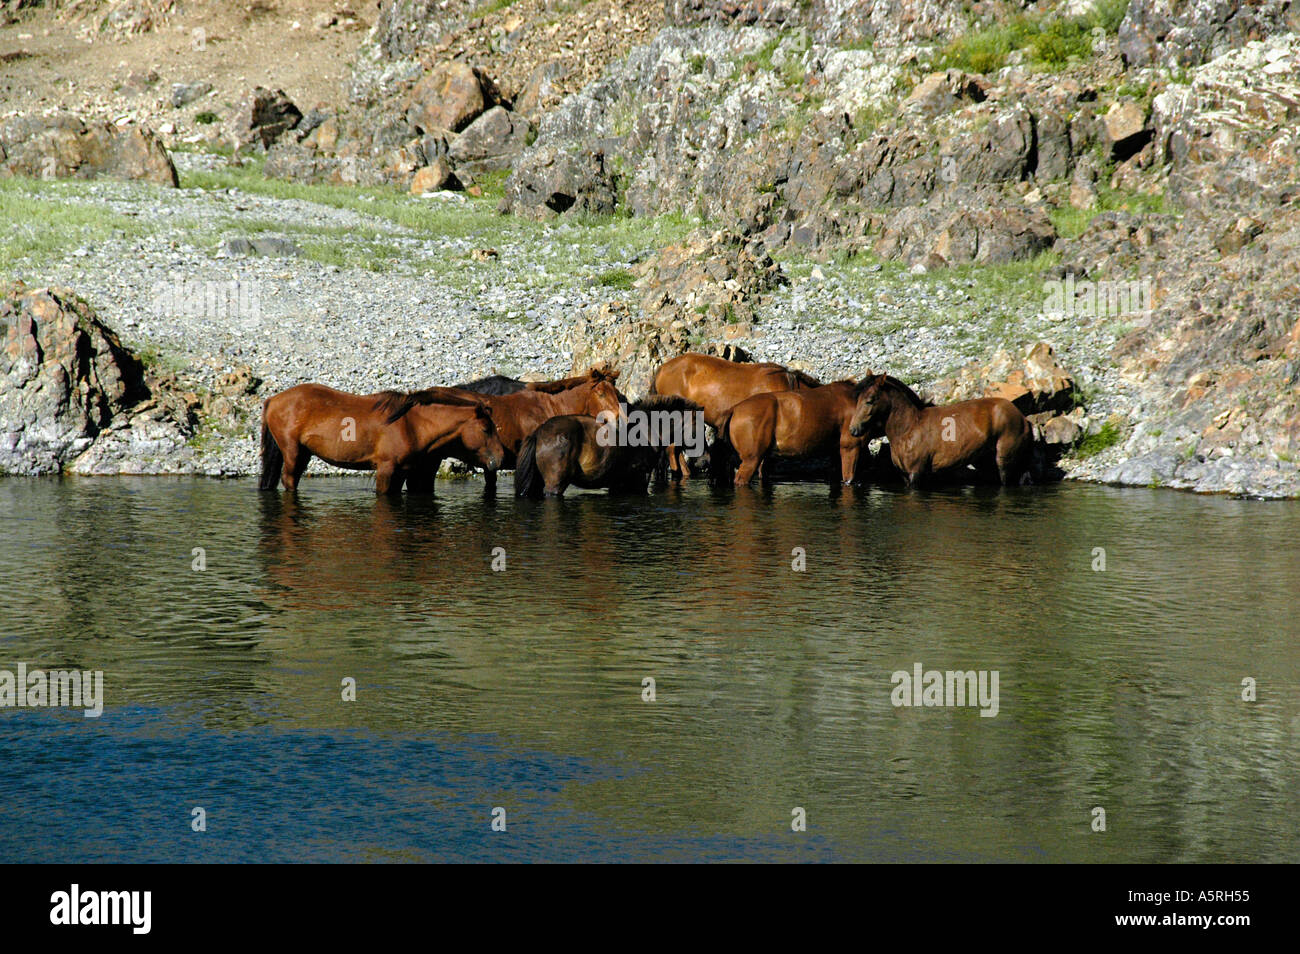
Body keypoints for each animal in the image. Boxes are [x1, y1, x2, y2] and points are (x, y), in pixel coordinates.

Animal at [259, 383, 504, 495]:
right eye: (486, 429)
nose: (500, 458)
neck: (410, 423)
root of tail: (273, 400)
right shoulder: (386, 469)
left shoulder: (402, 471)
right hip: (291, 451)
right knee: (289, 479)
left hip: (304, 453)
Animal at [514, 395, 703, 497]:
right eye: (698, 426)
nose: (704, 459)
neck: (647, 432)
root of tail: (539, 432)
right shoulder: (640, 477)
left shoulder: (617, 483)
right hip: (555, 484)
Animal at [848, 373, 1032, 487]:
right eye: (858, 399)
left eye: (870, 400)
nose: (853, 430)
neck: (909, 428)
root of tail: (1021, 417)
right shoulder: (905, 475)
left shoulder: (916, 473)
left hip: (1004, 460)